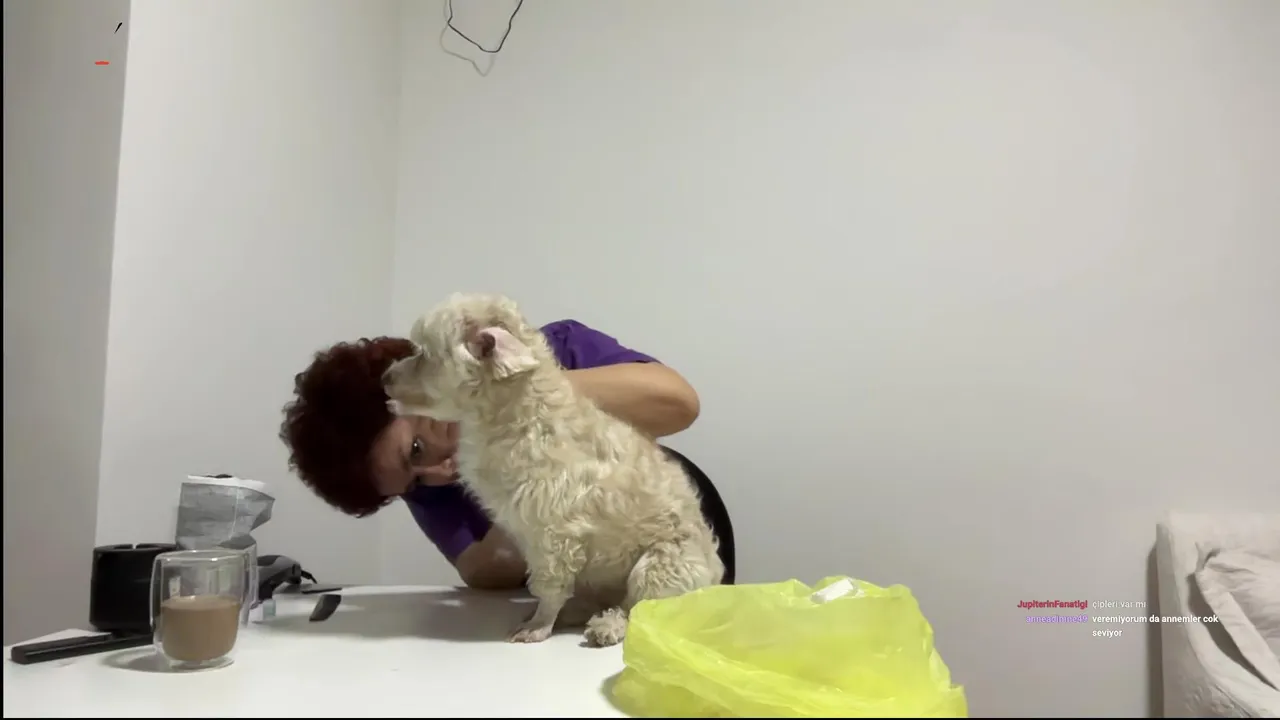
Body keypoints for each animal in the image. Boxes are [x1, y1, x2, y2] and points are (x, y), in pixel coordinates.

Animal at [382, 292, 723, 646]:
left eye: (423, 353)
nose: (384, 378)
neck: (517, 411)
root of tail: (714, 579)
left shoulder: (555, 532)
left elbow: (549, 585)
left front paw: (539, 624)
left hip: (660, 567)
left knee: (637, 608)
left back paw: (608, 625)